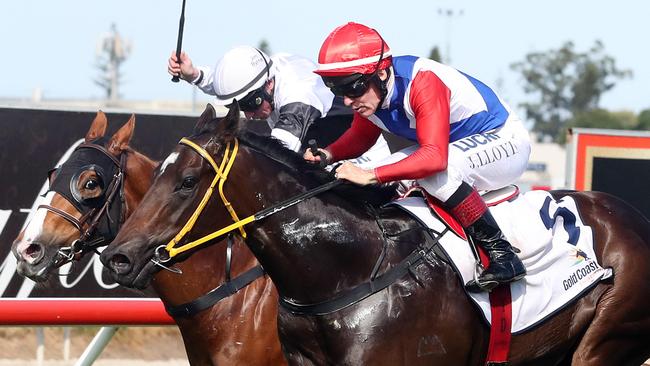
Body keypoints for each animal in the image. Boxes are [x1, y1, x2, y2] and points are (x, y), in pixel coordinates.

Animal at [98, 103, 648, 366]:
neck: (347, 273)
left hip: (605, 341)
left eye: (188, 181)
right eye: (159, 173)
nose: (117, 258)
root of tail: (633, 217)